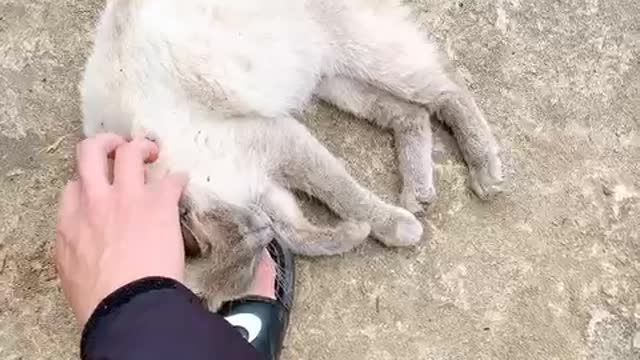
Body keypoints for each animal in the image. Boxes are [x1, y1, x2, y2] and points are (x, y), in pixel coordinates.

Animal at [81, 0, 504, 310]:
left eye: (249, 244)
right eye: (253, 255)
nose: (261, 231)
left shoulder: (278, 144)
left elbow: (342, 193)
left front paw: (392, 227)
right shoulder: (265, 190)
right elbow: (302, 233)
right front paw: (355, 233)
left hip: (366, 56)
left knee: (447, 90)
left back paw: (486, 171)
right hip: (335, 78)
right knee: (410, 114)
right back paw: (417, 191)